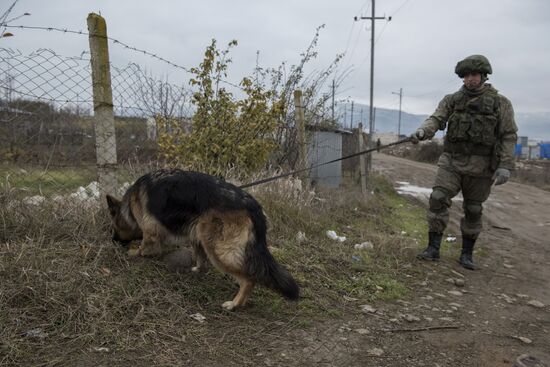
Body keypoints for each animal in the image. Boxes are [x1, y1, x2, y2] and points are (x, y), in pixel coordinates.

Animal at [105, 170, 300, 310]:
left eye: (113, 227)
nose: (113, 240)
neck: (130, 205)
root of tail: (253, 206)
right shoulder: (195, 234)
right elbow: (199, 257)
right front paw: (198, 269)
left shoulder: (150, 233)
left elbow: (145, 247)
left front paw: (134, 252)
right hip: (205, 234)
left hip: (218, 249)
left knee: (249, 279)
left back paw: (235, 304)